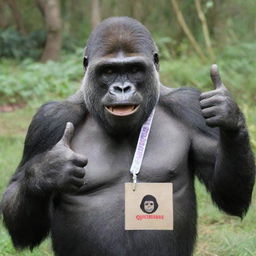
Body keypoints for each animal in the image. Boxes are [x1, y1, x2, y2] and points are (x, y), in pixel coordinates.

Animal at [1, 16, 255, 256]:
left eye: (134, 70)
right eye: (109, 71)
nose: (122, 88)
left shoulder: (190, 106)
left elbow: (230, 196)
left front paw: (229, 116)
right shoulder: (48, 121)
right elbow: (22, 224)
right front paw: (49, 171)